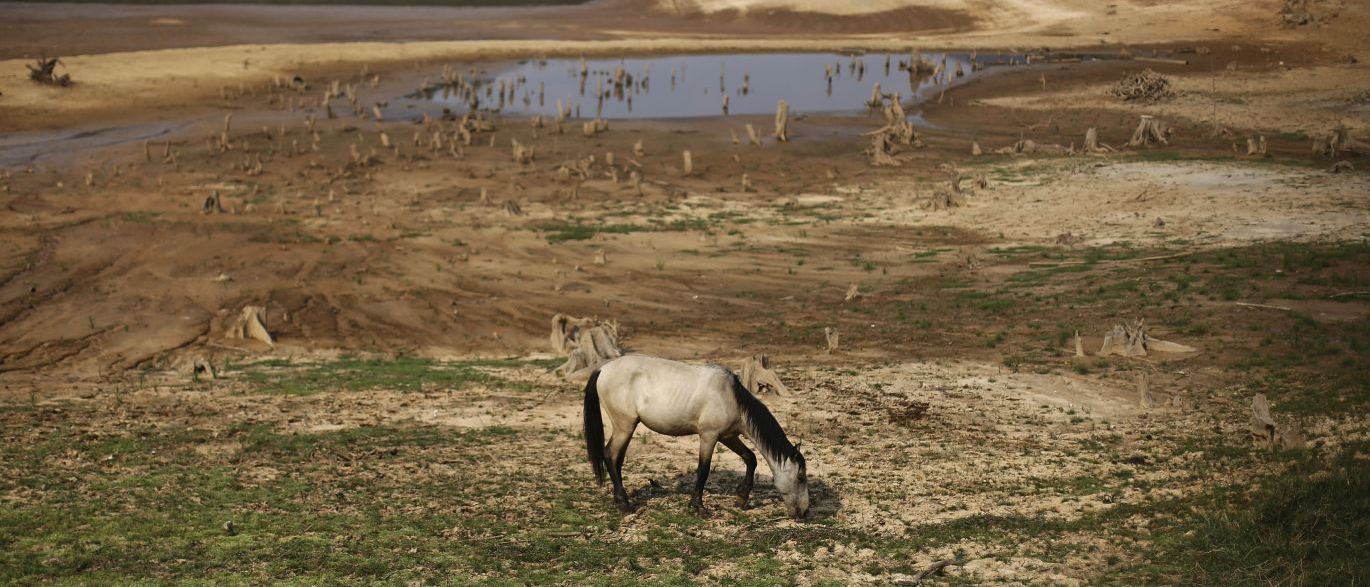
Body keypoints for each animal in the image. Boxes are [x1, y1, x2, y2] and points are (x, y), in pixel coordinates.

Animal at [583, 353, 805, 518]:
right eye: (801, 477)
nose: (804, 512)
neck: (731, 397)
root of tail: (603, 370)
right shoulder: (709, 436)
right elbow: (703, 470)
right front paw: (698, 507)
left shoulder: (727, 436)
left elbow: (750, 458)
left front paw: (741, 497)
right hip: (624, 426)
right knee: (610, 455)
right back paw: (624, 505)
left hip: (626, 428)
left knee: (617, 459)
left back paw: (619, 499)